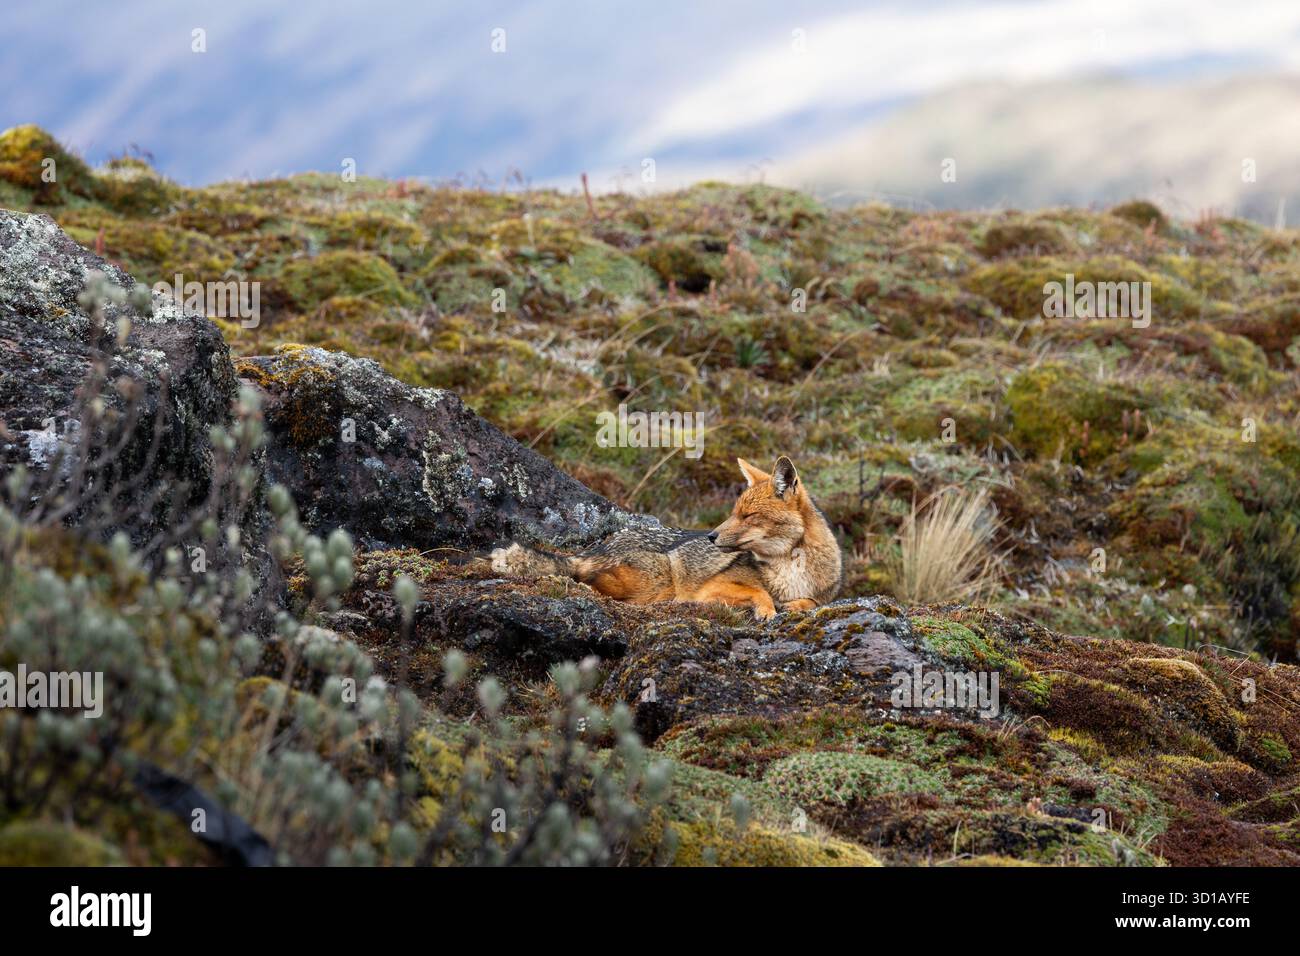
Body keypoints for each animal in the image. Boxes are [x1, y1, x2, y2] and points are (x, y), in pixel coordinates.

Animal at [489, 456, 842, 619]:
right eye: (734, 511)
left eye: (748, 515)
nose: (711, 536)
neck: (789, 566)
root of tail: (599, 546)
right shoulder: (710, 590)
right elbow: (760, 592)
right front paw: (768, 609)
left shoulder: (823, 594)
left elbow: (811, 601)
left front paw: (793, 605)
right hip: (659, 581)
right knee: (587, 580)